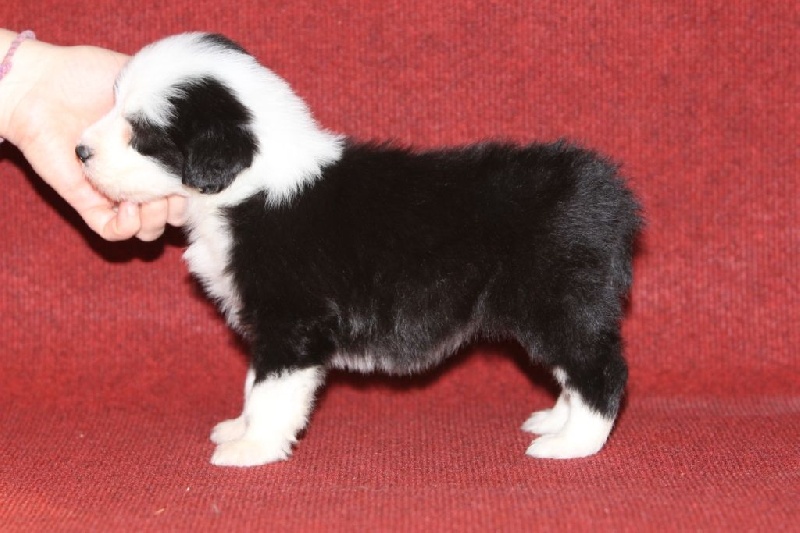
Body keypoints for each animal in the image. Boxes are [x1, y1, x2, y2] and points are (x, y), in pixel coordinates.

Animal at [76, 32, 642, 467]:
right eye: (113, 103)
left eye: (142, 136)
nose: (80, 150)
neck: (248, 183)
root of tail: (609, 192)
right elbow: (253, 383)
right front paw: (239, 428)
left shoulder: (292, 320)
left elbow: (270, 389)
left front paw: (250, 448)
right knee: (575, 370)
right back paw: (554, 420)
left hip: (555, 301)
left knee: (600, 369)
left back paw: (571, 444)